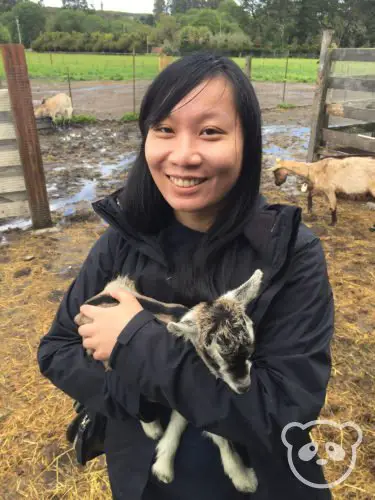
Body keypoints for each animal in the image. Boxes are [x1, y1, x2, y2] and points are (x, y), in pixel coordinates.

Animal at [74, 270, 264, 492]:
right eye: (213, 359)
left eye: (250, 349)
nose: (244, 386)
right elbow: (219, 434)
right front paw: (243, 478)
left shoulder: (179, 393)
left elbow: (181, 420)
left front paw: (163, 467)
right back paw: (152, 428)